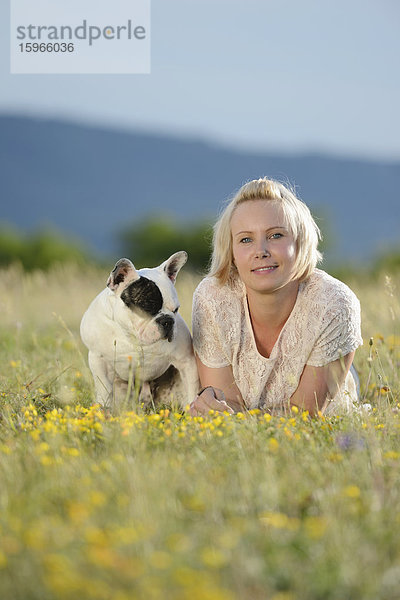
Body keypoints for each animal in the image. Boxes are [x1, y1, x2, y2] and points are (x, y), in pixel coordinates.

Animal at [80, 251, 199, 410]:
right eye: (147, 308)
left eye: (176, 309)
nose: (168, 320)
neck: (132, 337)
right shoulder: (98, 359)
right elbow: (104, 389)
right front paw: (104, 409)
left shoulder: (186, 361)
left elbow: (192, 390)